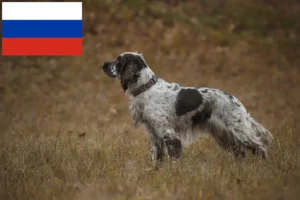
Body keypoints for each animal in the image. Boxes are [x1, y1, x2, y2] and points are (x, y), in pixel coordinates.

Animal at [102, 52, 274, 162]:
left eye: (119, 61)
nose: (103, 64)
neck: (146, 88)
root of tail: (236, 101)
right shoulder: (153, 133)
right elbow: (156, 157)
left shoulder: (168, 133)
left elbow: (174, 157)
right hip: (223, 134)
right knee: (241, 153)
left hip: (238, 130)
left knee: (259, 147)